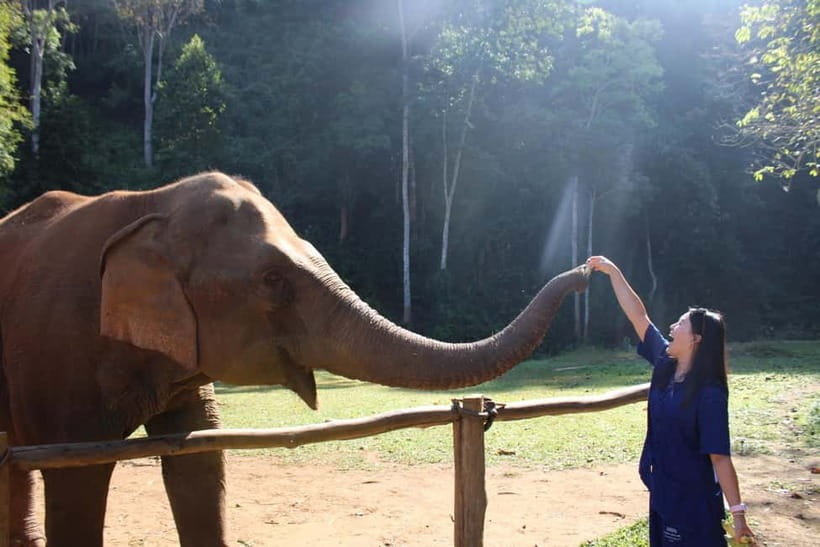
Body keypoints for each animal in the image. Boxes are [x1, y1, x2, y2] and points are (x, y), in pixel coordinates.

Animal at [0, 171, 588, 546]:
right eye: (272, 279)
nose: (588, 268)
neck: (151, 202)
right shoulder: (55, 355)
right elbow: (75, 475)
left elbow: (197, 461)